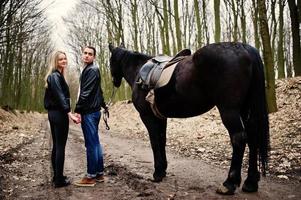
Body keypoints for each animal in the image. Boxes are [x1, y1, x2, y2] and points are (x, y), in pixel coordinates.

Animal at [109, 42, 268, 195]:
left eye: (110, 61)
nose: (114, 82)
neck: (138, 71)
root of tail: (243, 47)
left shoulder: (148, 117)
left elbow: (154, 142)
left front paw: (157, 173)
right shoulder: (161, 118)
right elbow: (162, 140)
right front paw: (163, 169)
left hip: (229, 110)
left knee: (239, 138)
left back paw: (229, 184)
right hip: (246, 109)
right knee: (253, 137)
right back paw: (250, 182)